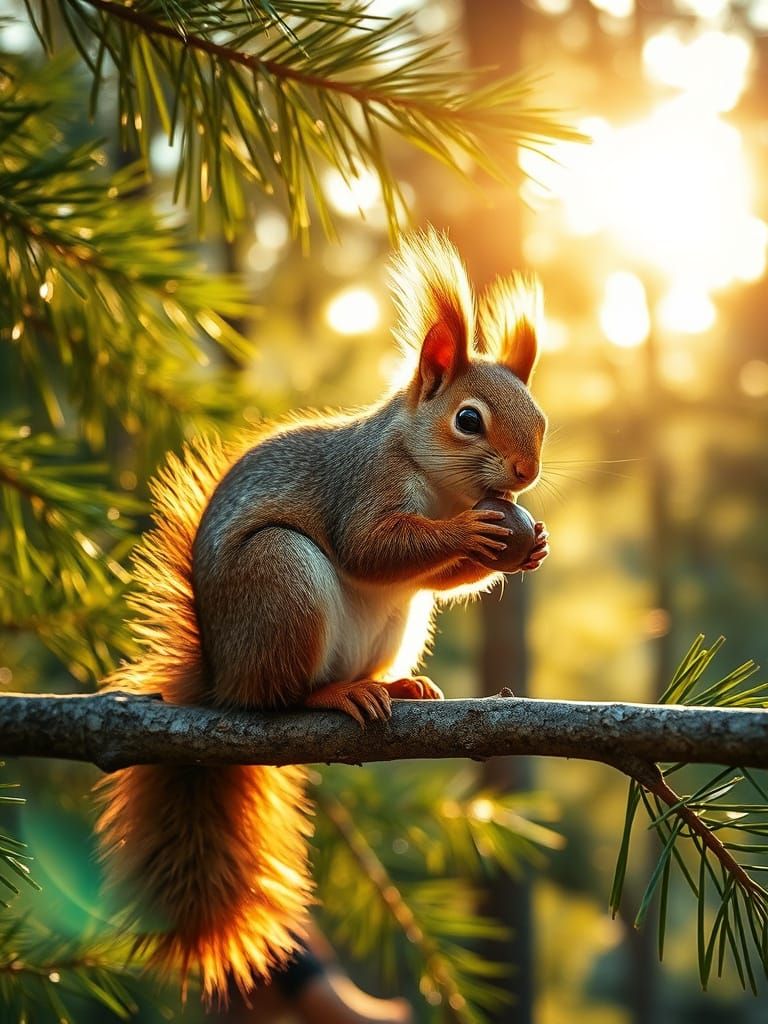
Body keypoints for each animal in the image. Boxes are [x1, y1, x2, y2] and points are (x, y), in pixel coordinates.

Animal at [96, 228, 550, 1005]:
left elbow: (436, 576)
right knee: (281, 697)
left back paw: (397, 686)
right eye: (469, 421)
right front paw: (471, 534)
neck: (437, 485)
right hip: (283, 584)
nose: (526, 473)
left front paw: (525, 545)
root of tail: (222, 677)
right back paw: (333, 695)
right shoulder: (362, 488)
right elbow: (371, 547)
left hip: (399, 624)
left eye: (542, 419)